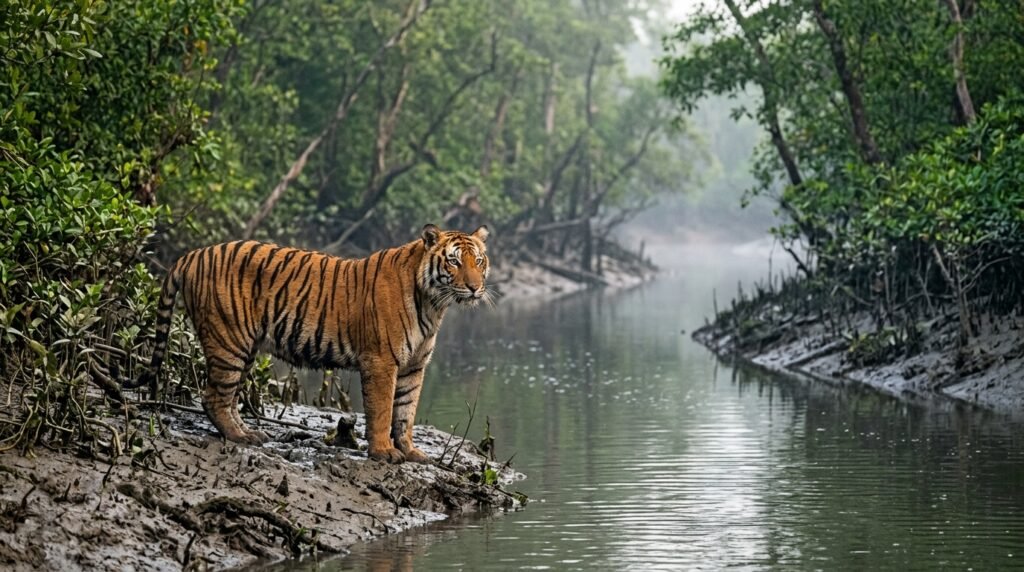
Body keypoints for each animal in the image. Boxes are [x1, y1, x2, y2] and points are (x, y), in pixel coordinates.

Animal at [125, 224, 491, 464]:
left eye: (479, 261)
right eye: (454, 261)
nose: (475, 288)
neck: (433, 304)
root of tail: (192, 254)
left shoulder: (414, 366)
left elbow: (405, 412)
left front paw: (411, 452)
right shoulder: (381, 361)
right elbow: (382, 410)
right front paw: (384, 453)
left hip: (243, 347)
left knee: (227, 398)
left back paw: (253, 434)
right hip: (229, 340)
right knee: (213, 397)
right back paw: (240, 437)